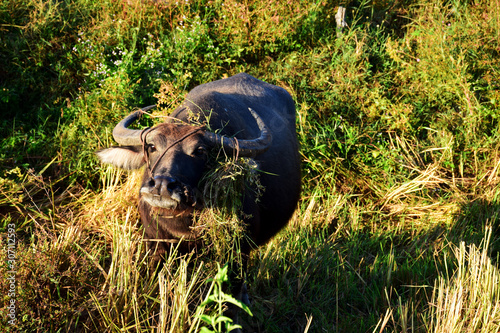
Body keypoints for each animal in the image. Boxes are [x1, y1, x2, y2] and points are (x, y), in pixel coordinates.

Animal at [96, 71, 300, 292]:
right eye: (151, 147)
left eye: (200, 151)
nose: (161, 185)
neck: (181, 222)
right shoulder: (155, 243)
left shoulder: (238, 254)